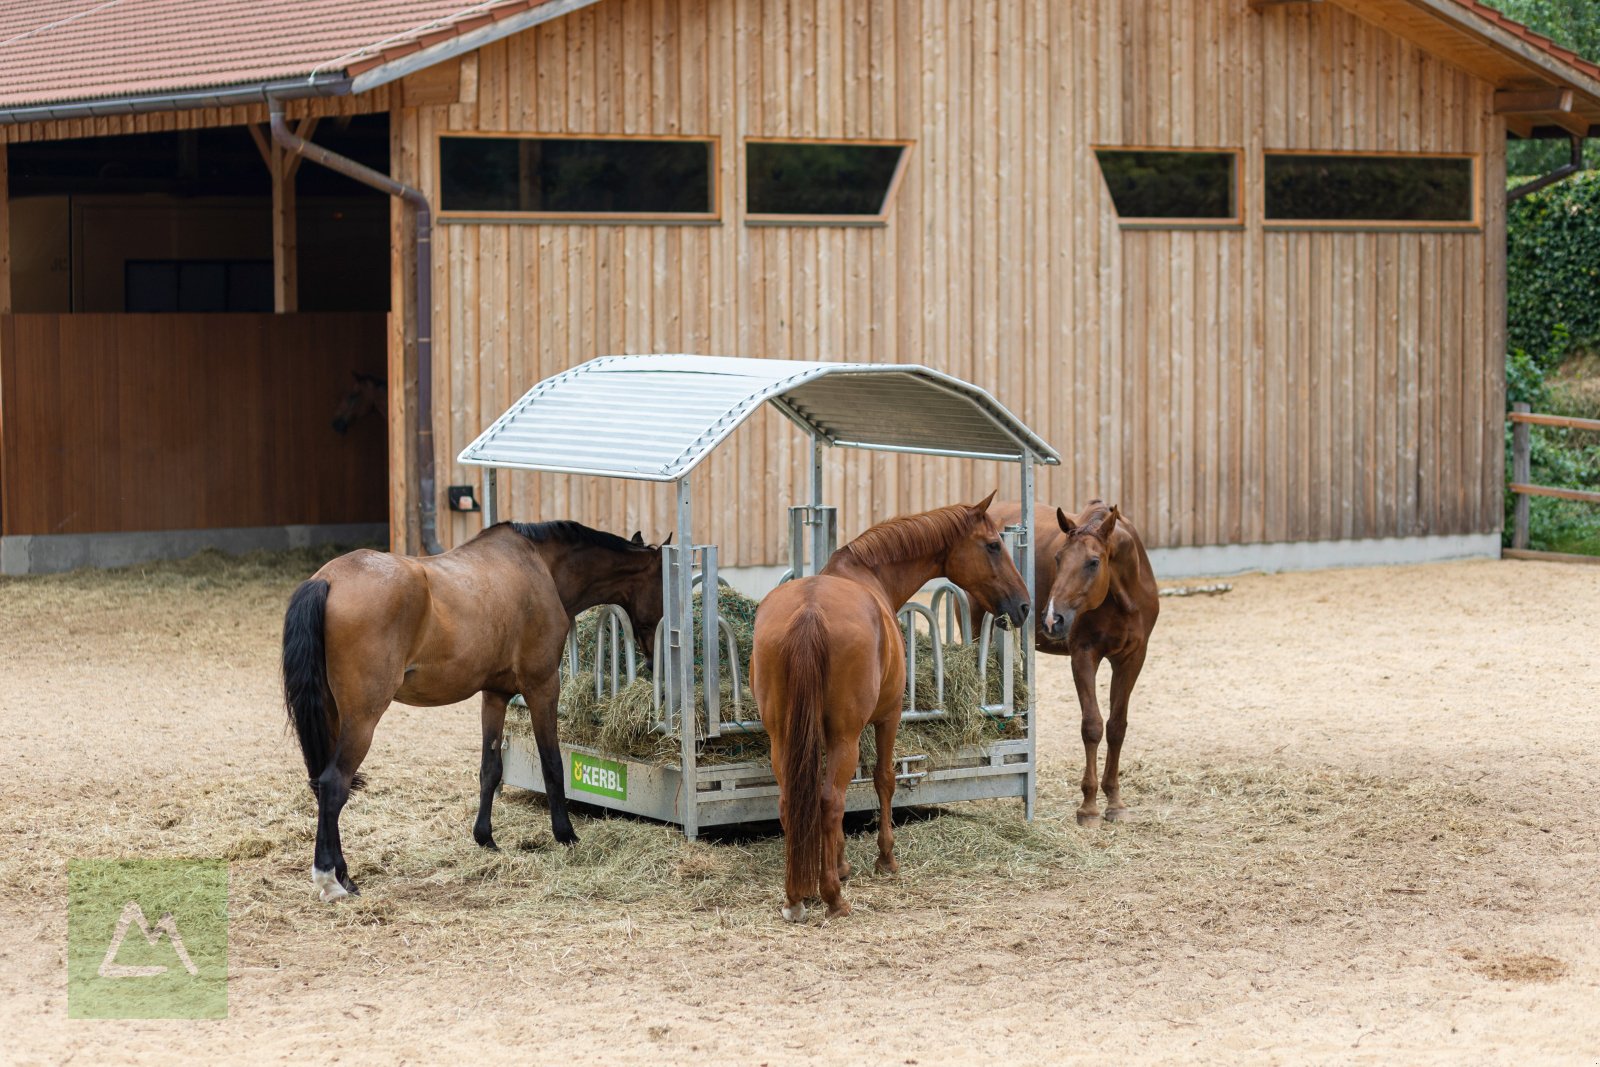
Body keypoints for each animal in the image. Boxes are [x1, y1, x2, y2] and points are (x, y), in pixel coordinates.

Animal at [281, 521, 662, 895]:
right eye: (662, 587)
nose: (653, 661)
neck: (540, 565)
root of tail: (328, 579)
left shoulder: (494, 694)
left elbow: (490, 768)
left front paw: (485, 838)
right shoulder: (542, 687)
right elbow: (552, 764)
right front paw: (565, 834)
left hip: (333, 716)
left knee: (323, 785)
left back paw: (342, 873)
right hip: (362, 720)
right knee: (334, 784)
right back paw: (332, 879)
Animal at [752, 492, 1030, 921]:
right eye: (992, 545)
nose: (1024, 606)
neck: (868, 575)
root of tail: (809, 614)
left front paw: (839, 864)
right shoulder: (888, 717)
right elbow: (883, 779)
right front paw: (885, 858)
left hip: (783, 737)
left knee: (792, 802)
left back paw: (796, 896)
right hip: (845, 735)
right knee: (831, 801)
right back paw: (833, 898)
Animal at [992, 502, 1158, 825]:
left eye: (1093, 562)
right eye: (1058, 558)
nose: (1051, 619)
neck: (1122, 596)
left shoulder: (1132, 659)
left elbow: (1116, 726)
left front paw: (1115, 801)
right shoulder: (1083, 655)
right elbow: (1092, 726)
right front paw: (1089, 807)